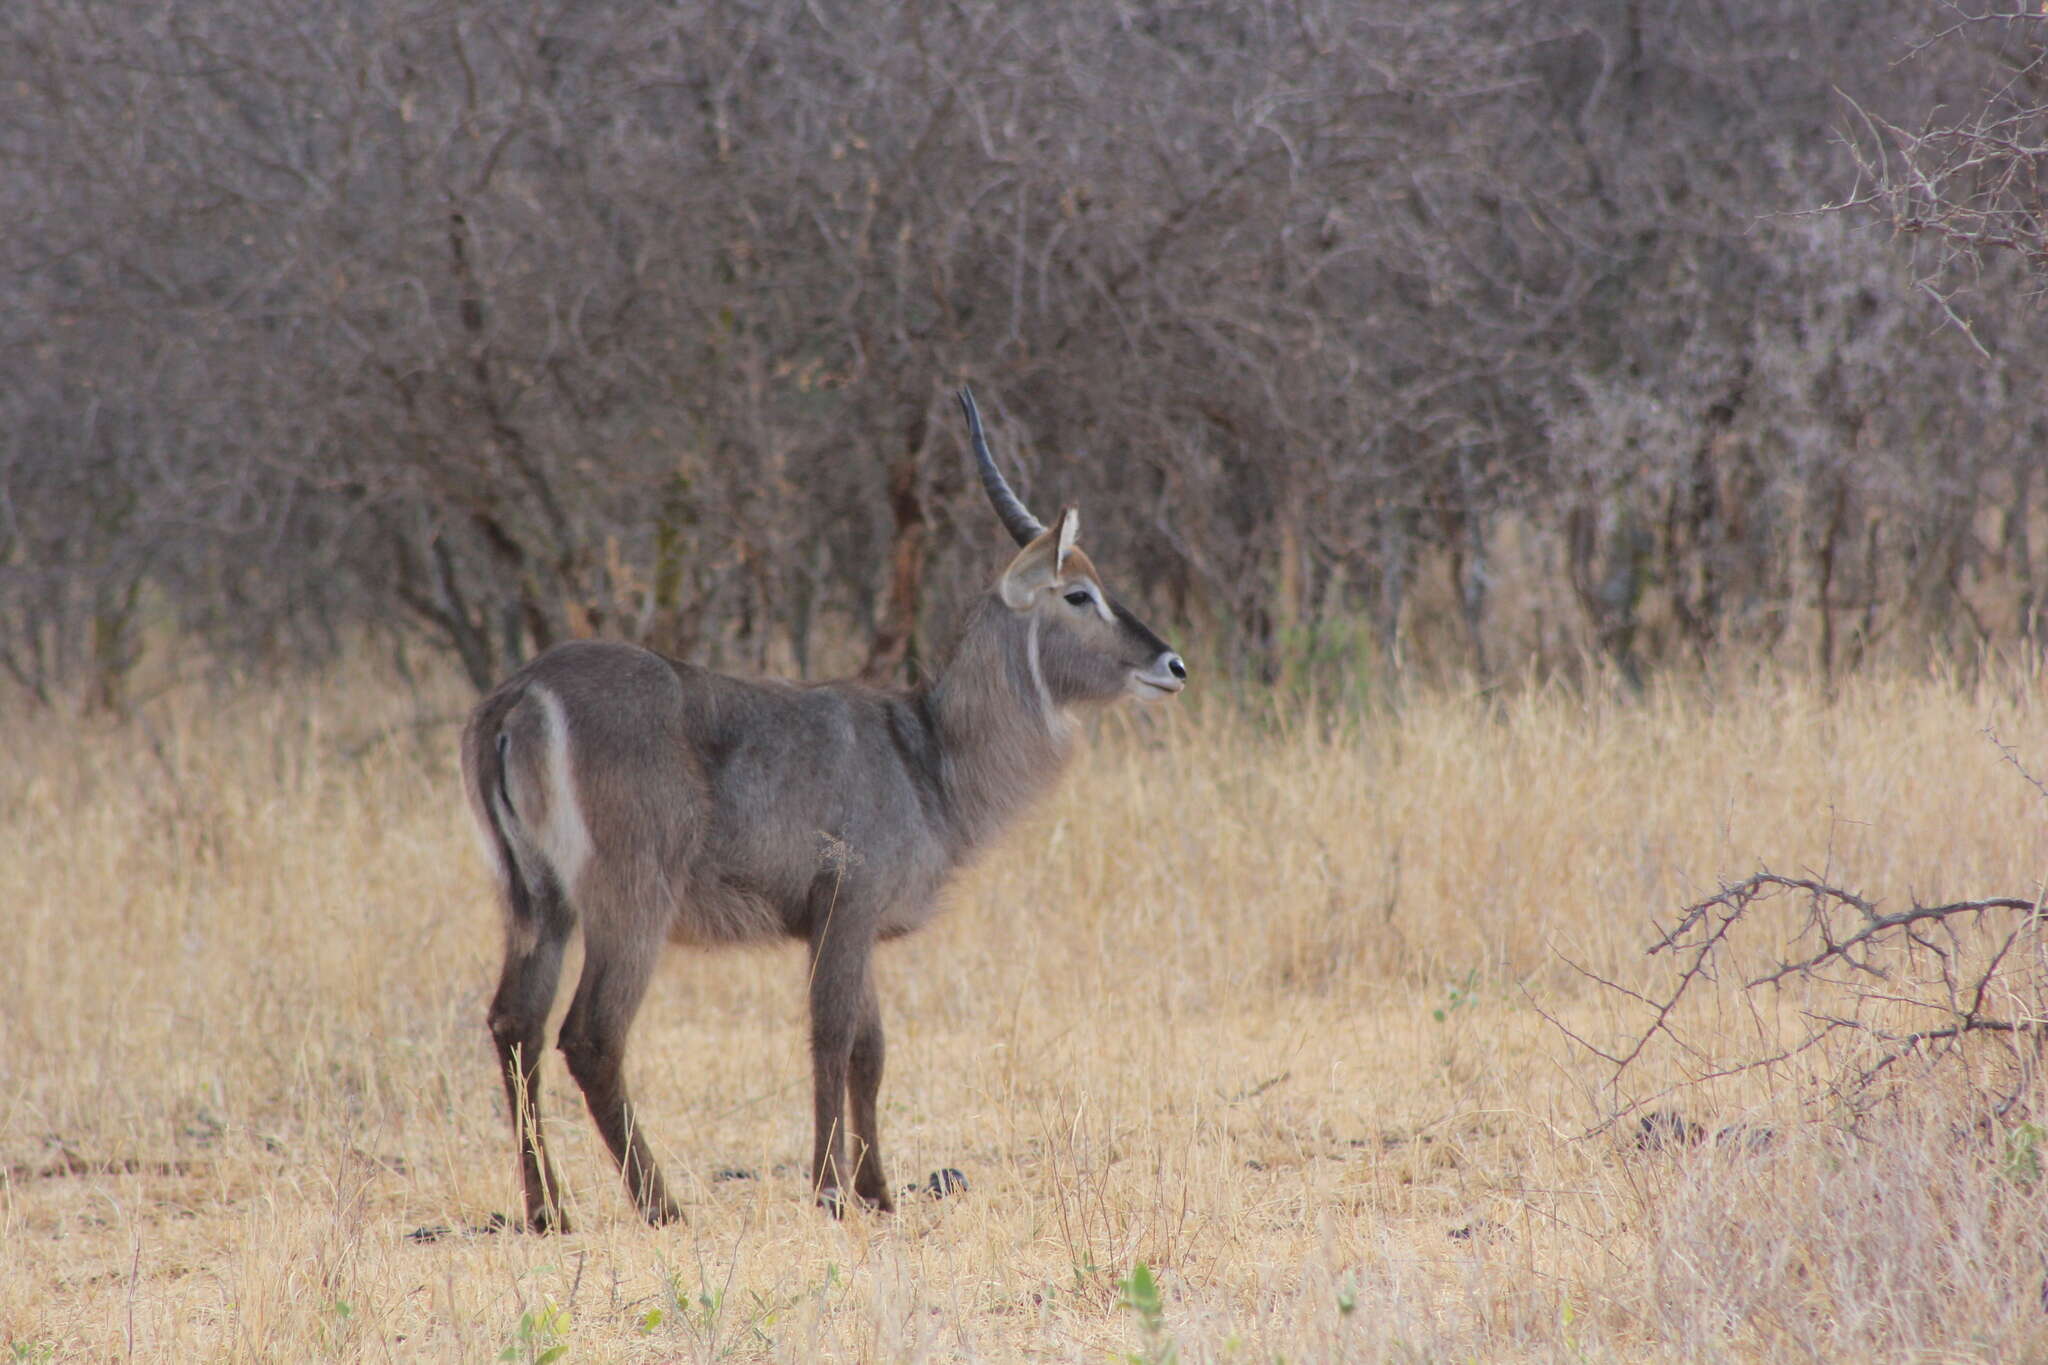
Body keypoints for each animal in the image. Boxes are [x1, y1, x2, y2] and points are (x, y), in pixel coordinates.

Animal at [454, 386, 1179, 1227]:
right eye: (1079, 593)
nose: (1173, 663)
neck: (927, 752)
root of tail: (520, 695)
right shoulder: (846, 901)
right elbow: (832, 1037)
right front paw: (831, 1188)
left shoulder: (854, 923)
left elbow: (870, 1049)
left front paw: (879, 1190)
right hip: (629, 900)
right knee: (591, 1036)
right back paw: (660, 1204)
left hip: (533, 898)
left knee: (515, 1025)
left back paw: (548, 1211)